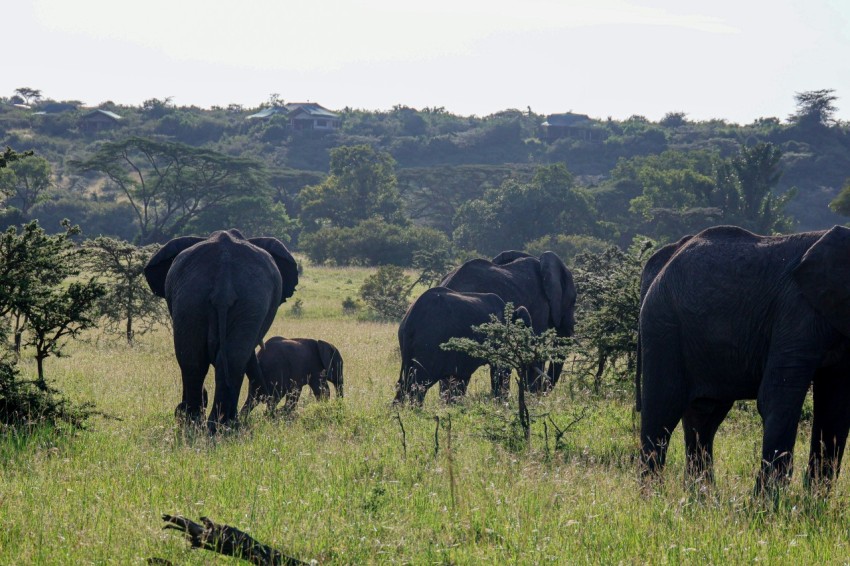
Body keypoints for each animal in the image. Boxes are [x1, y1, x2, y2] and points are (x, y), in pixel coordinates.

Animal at [147, 229, 300, 432]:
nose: (270, 406)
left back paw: (200, 424)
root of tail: (223, 275)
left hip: (194, 297)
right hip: (246, 299)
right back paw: (220, 424)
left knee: (194, 359)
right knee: (228, 358)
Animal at [640, 226, 848, 492]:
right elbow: (778, 396)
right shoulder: (796, 311)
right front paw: (770, 500)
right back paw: (652, 495)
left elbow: (836, 406)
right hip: (662, 326)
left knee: (705, 416)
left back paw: (702, 496)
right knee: (662, 410)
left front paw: (815, 498)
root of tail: (665, 256)